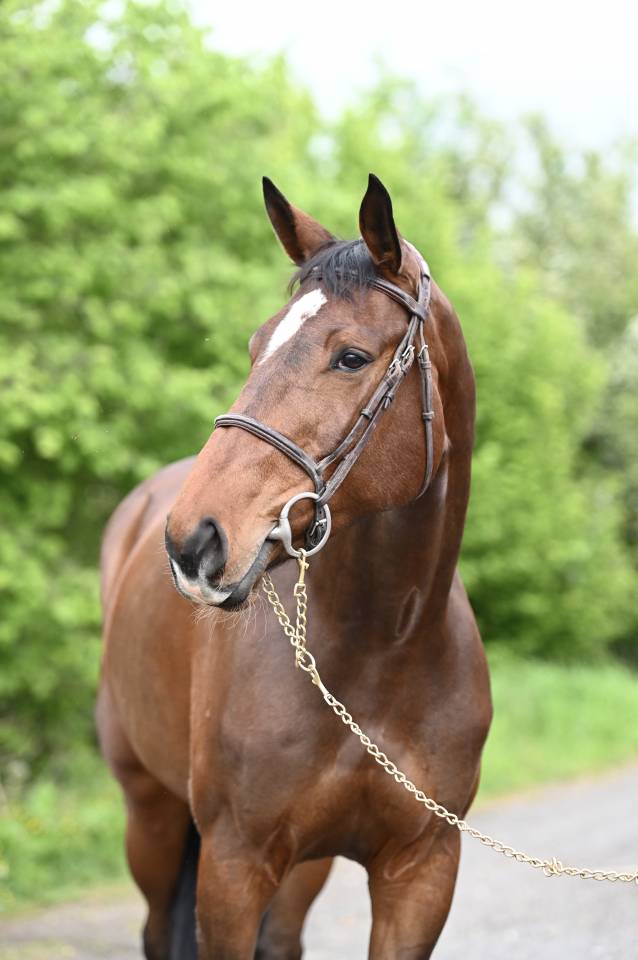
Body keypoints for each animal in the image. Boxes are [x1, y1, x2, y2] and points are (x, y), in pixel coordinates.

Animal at [98, 173, 492, 960]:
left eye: (352, 357)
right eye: (257, 345)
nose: (193, 541)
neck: (382, 653)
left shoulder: (421, 871)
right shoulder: (233, 864)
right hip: (151, 816)